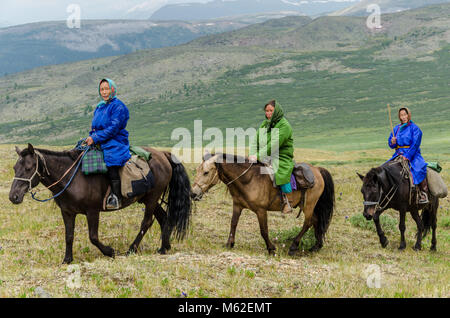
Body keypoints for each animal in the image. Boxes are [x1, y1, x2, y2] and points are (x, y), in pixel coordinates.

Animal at [8, 144, 192, 264]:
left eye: (29, 168)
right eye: (15, 168)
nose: (13, 197)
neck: (72, 178)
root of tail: (163, 155)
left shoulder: (92, 211)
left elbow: (93, 237)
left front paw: (110, 252)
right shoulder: (67, 212)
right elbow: (69, 236)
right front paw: (67, 260)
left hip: (152, 198)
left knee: (146, 222)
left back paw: (131, 249)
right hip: (148, 199)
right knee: (163, 218)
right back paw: (164, 248)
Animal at [190, 153, 334, 255]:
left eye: (206, 172)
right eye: (197, 170)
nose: (193, 193)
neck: (249, 179)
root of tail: (318, 170)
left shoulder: (261, 210)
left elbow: (263, 230)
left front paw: (271, 248)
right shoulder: (237, 205)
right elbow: (233, 224)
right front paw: (229, 244)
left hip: (308, 205)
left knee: (308, 222)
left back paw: (294, 246)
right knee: (316, 221)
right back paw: (316, 246)